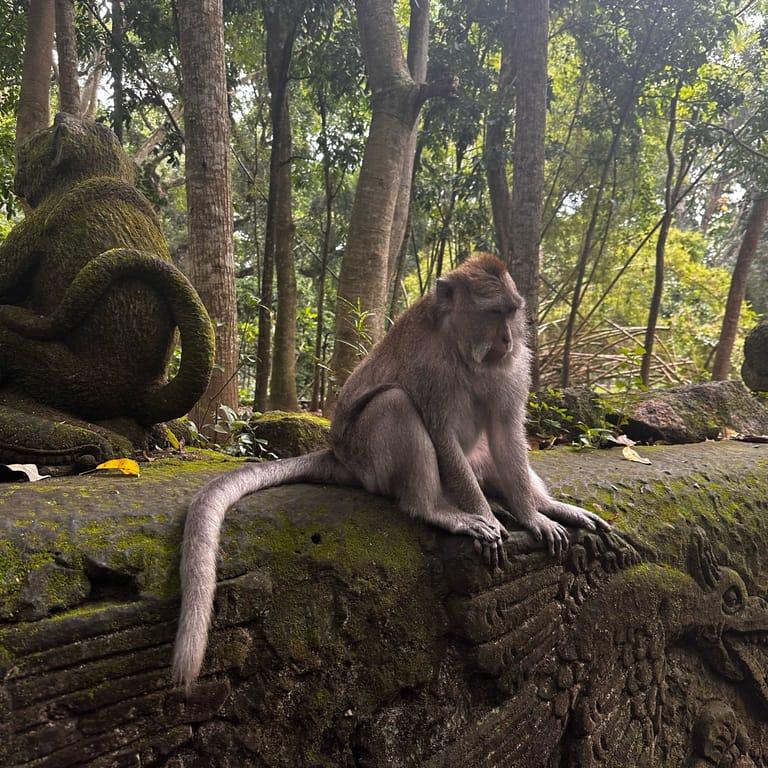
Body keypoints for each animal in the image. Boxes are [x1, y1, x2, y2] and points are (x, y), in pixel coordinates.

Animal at [172, 253, 608, 689]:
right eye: (492, 313)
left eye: (512, 313)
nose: (507, 341)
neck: (461, 346)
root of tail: (340, 456)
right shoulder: (433, 370)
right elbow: (440, 433)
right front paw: (484, 515)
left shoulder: (513, 368)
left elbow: (505, 432)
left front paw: (533, 515)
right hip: (370, 460)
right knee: (395, 403)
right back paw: (438, 509)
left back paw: (539, 505)